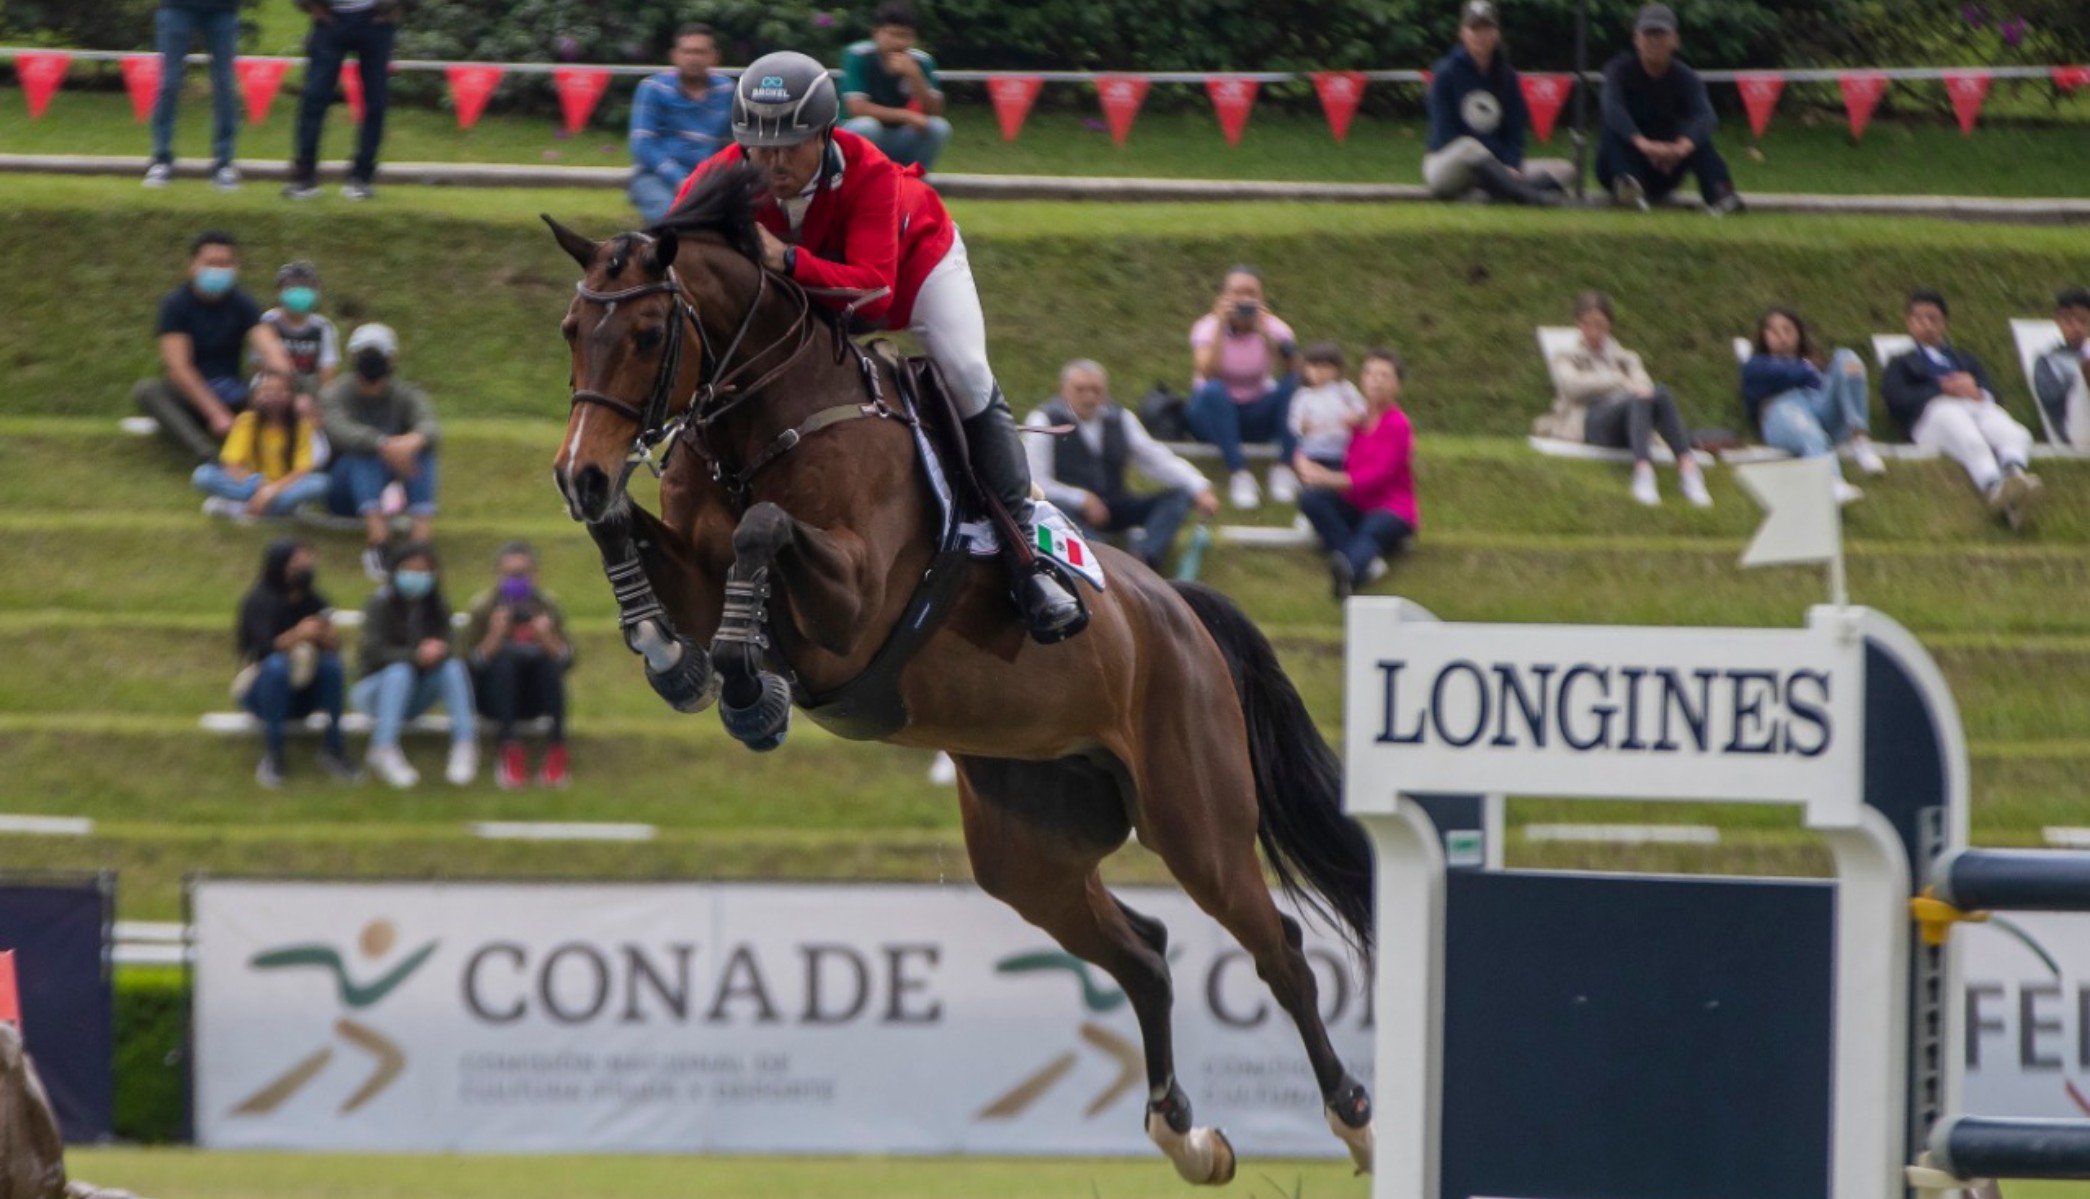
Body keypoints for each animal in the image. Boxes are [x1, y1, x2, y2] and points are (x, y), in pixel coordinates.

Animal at [543, 164, 1376, 1184]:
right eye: (574, 330)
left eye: (648, 334)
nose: (577, 472)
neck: (764, 424)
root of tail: (1178, 607)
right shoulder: (699, 575)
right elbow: (634, 537)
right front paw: (669, 653)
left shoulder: (852, 606)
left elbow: (763, 532)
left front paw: (749, 690)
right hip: (1028, 847)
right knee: (1143, 954)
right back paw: (1186, 1135)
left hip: (1196, 818)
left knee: (1280, 951)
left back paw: (1354, 1121)